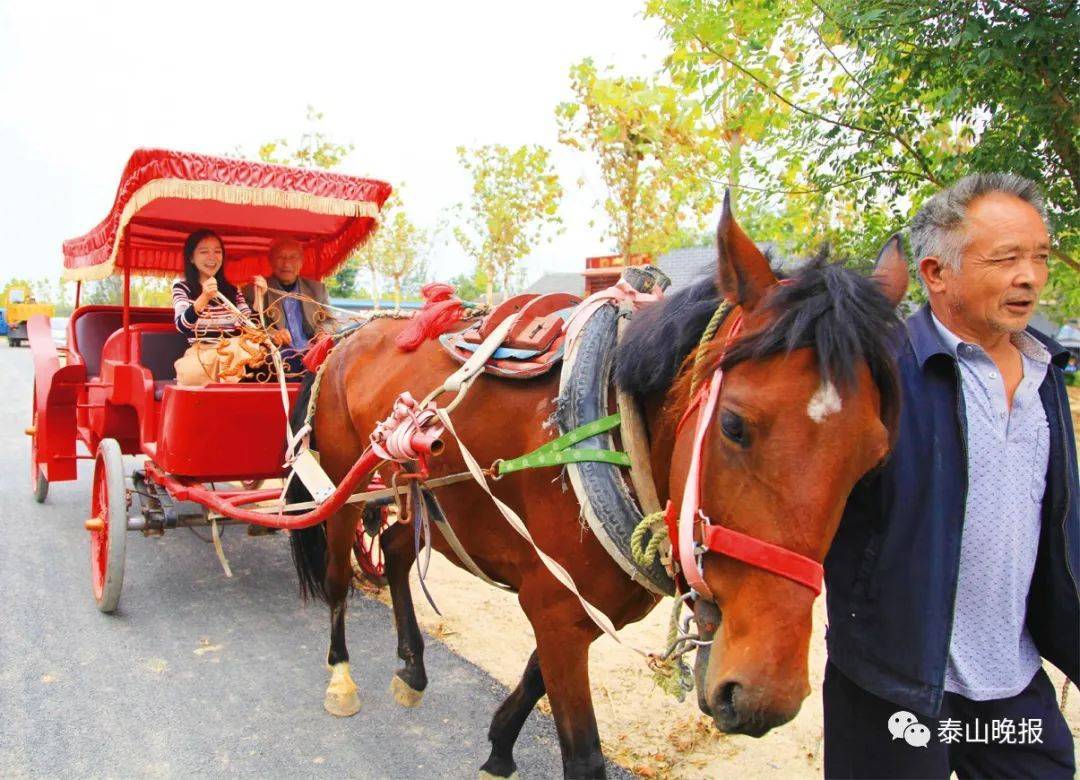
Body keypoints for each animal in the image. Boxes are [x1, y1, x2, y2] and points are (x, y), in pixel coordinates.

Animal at [289, 197, 911, 773]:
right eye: (734, 425)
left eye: (876, 456)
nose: (764, 696)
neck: (614, 416)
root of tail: (349, 334)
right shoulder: (556, 609)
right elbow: (583, 752)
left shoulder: (576, 607)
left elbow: (533, 680)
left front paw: (499, 747)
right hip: (341, 488)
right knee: (339, 577)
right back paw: (341, 676)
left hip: (413, 496)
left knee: (396, 550)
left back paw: (414, 668)